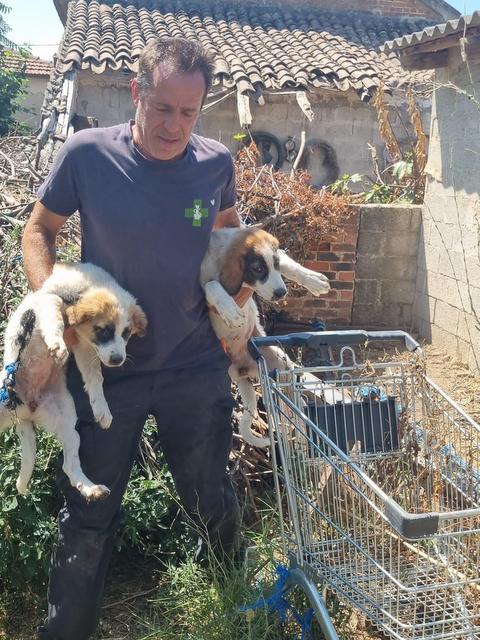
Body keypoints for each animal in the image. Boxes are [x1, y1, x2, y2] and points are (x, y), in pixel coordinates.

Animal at [0, 263, 147, 501]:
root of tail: (26, 411)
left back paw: (91, 489)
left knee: (69, 465)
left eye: (127, 333)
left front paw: (101, 408)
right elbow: (56, 315)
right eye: (103, 330)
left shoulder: (85, 346)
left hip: (68, 423)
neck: (85, 287)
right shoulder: (49, 299)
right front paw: (56, 343)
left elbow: (95, 376)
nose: (118, 360)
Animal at [200, 227, 330, 446]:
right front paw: (229, 309)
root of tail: (242, 369)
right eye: (258, 269)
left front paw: (312, 280)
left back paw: (301, 431)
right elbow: (212, 286)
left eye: (275, 264)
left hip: (282, 364)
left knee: (295, 402)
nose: (281, 292)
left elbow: (288, 263)